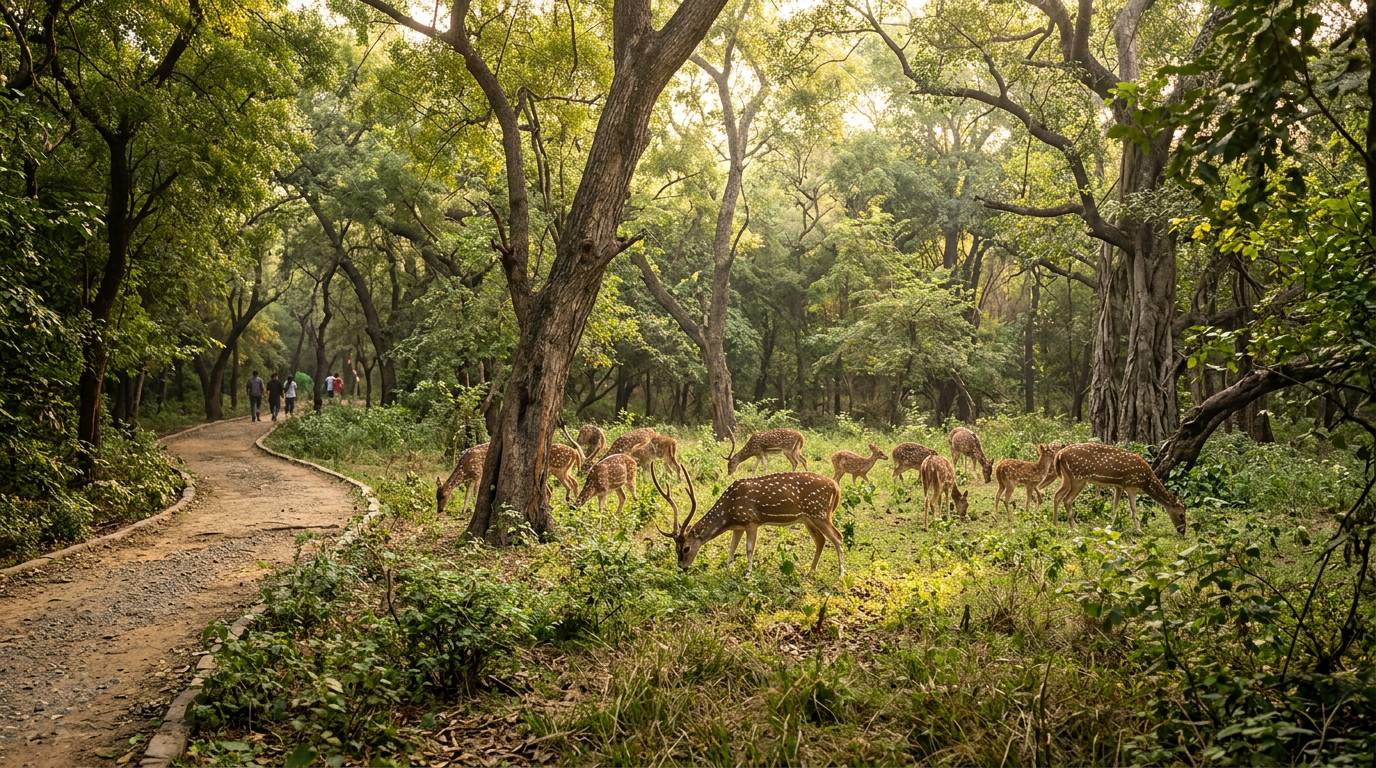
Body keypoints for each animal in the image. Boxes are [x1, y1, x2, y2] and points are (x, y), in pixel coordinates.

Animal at [652, 463, 844, 576]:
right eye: (675, 549)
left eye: (686, 548)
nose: (681, 567)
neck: (729, 512)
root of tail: (836, 487)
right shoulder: (738, 526)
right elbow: (731, 549)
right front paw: (728, 569)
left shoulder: (751, 520)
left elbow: (749, 549)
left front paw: (748, 574)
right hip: (808, 519)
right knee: (821, 540)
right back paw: (810, 572)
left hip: (820, 513)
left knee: (838, 537)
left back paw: (841, 574)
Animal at [1051, 443, 1187, 534]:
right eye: (1181, 515)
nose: (1183, 531)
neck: (1145, 482)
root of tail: (1059, 454)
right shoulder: (1131, 485)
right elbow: (1133, 509)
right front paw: (1139, 530)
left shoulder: (1119, 486)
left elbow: (1114, 507)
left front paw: (1110, 527)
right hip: (1078, 478)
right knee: (1067, 499)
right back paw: (1074, 527)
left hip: (1067, 478)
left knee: (1057, 495)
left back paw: (1055, 525)